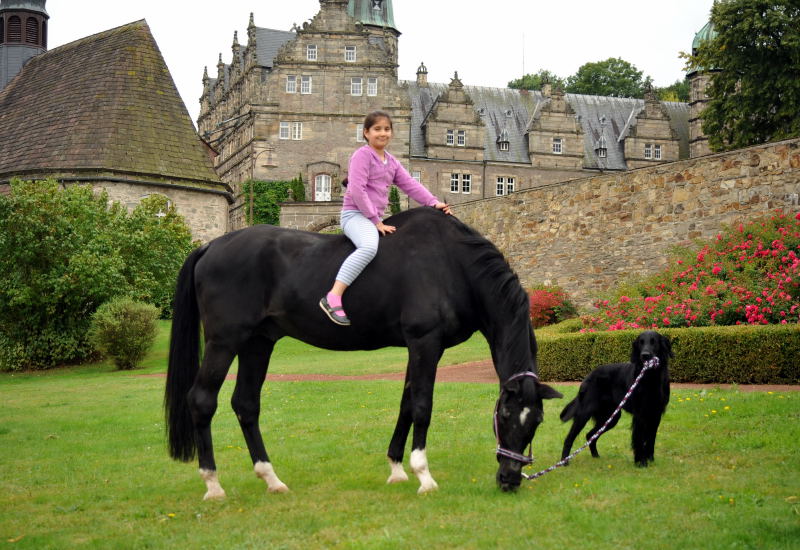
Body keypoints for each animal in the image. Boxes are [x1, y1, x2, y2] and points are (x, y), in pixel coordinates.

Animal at [165, 208, 560, 500]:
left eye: (537, 421)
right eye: (505, 415)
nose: (510, 479)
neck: (451, 263)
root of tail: (212, 246)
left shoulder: (419, 347)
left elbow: (406, 405)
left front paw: (397, 469)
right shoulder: (425, 343)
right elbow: (422, 406)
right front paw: (424, 475)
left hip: (257, 343)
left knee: (246, 404)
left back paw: (271, 479)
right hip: (225, 341)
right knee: (202, 400)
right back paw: (213, 484)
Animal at [560, 334, 672, 468]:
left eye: (654, 342)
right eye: (641, 342)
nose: (645, 355)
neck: (650, 377)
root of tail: (588, 376)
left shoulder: (656, 413)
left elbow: (651, 439)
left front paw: (650, 459)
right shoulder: (640, 414)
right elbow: (639, 440)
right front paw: (641, 462)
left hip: (611, 417)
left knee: (590, 435)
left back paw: (596, 456)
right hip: (585, 413)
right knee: (569, 438)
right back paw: (564, 461)